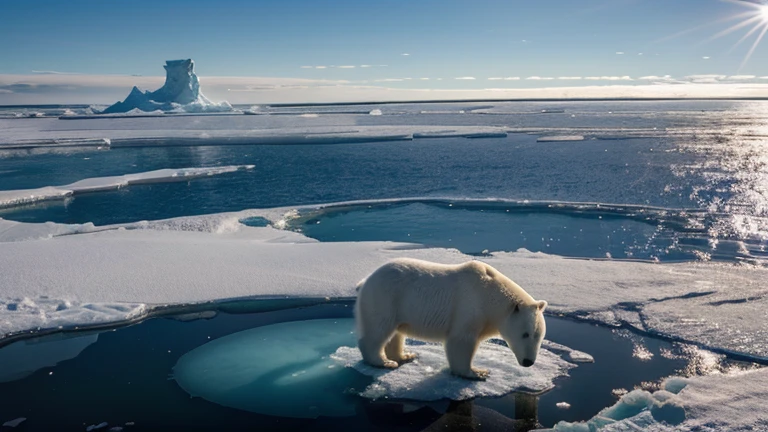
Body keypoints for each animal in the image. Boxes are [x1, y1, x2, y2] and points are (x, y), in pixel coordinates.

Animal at [354, 258, 544, 380]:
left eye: (539, 337)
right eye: (525, 334)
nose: (529, 362)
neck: (491, 294)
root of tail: (365, 281)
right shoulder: (470, 305)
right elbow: (461, 341)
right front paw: (477, 372)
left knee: (396, 333)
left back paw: (405, 355)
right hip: (385, 298)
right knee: (378, 329)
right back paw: (384, 361)